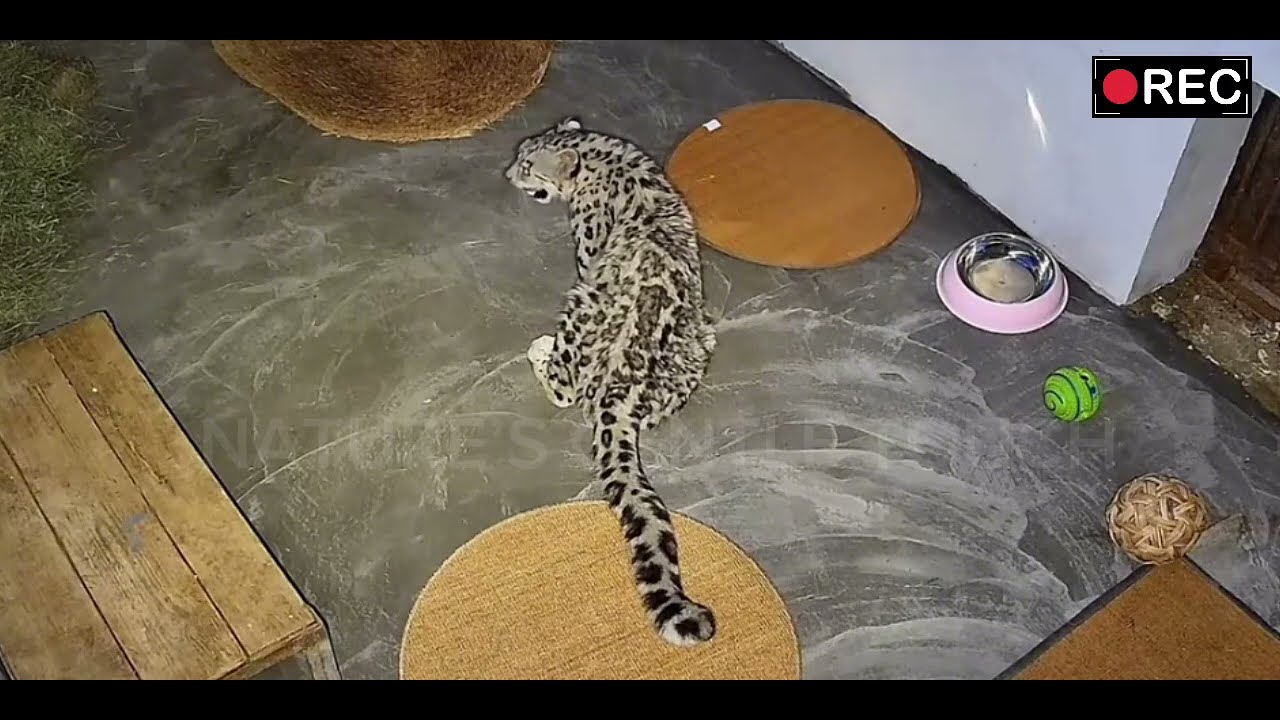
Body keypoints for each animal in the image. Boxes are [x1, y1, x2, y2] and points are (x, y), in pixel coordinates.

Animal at [505, 117, 719, 647]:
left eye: (528, 166)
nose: (507, 172)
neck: (600, 155)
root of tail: (624, 390)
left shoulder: (587, 253)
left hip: (582, 302)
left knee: (564, 386)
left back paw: (540, 349)